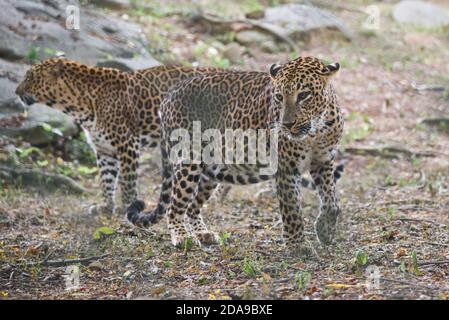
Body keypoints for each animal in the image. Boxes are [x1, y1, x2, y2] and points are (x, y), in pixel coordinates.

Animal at [15, 58, 226, 216]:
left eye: (30, 77)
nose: (16, 92)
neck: (78, 104)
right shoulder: (104, 149)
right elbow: (106, 180)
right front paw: (107, 207)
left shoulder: (128, 144)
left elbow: (127, 181)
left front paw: (129, 207)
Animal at [126, 56, 344, 249]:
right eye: (279, 97)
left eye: (304, 95)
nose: (287, 124)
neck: (315, 131)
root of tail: (169, 94)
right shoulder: (286, 168)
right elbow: (292, 209)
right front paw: (297, 245)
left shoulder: (323, 161)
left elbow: (331, 200)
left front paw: (324, 230)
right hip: (189, 160)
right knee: (175, 206)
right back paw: (182, 237)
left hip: (210, 171)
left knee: (192, 206)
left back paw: (202, 233)